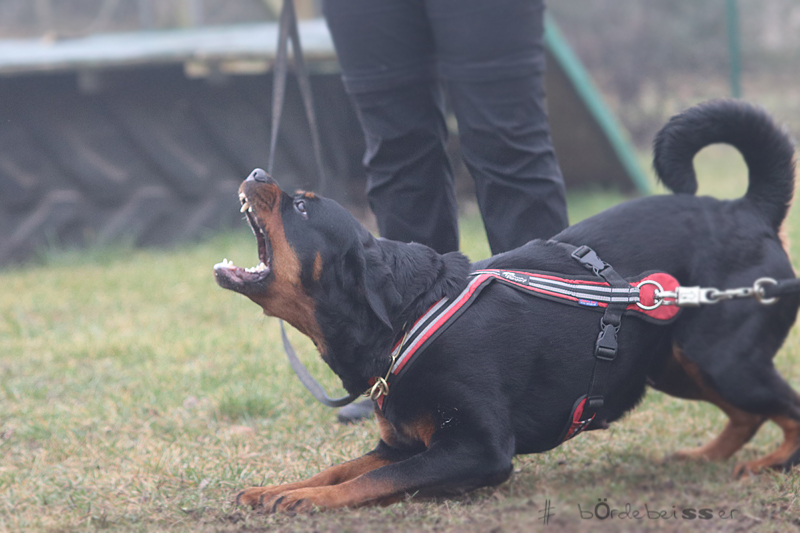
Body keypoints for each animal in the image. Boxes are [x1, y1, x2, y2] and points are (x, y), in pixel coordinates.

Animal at [214, 100, 799, 513]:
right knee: (749, 413)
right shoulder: (400, 444)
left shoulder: (477, 449)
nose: (259, 173)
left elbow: (371, 481)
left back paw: (770, 464)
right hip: (674, 365)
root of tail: (748, 210)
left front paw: (305, 500)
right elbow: (341, 469)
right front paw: (279, 488)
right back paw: (705, 458)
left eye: (300, 207)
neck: (407, 317)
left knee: (788, 409)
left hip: (721, 359)